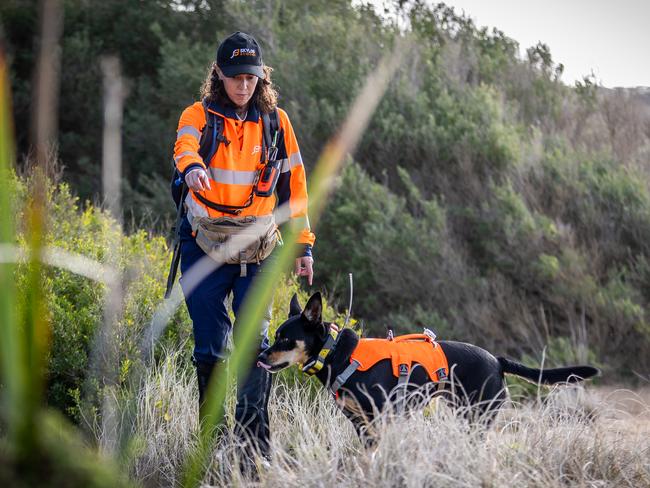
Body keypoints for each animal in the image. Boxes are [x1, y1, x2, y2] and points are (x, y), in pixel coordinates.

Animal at [256, 294, 596, 438]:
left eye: (285, 339)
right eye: (276, 335)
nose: (260, 357)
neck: (337, 353)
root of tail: (497, 360)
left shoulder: (382, 419)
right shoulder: (361, 423)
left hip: (478, 417)